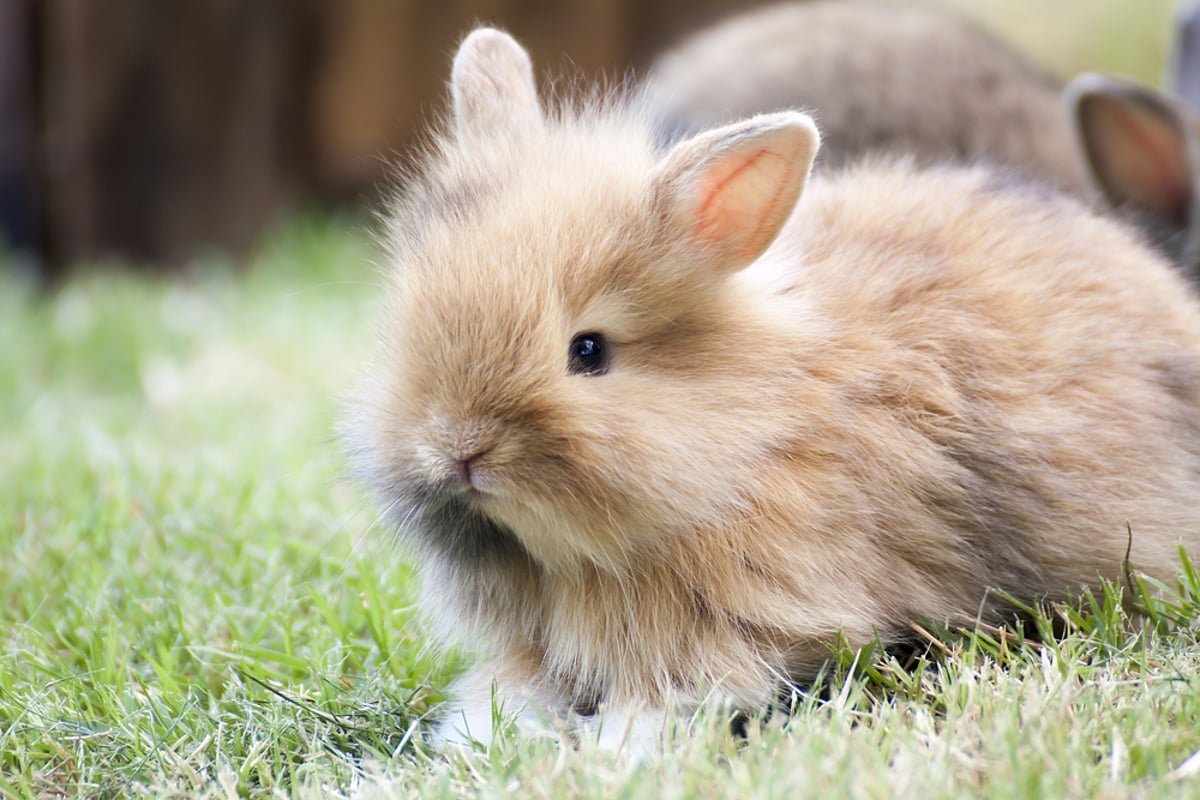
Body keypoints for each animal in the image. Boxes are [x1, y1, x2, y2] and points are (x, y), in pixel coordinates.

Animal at [348, 26, 1200, 753]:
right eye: (411, 325)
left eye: (588, 352)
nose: (458, 450)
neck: (749, 435)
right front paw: (482, 738)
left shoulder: (726, 634)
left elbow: (668, 701)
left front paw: (611, 754)